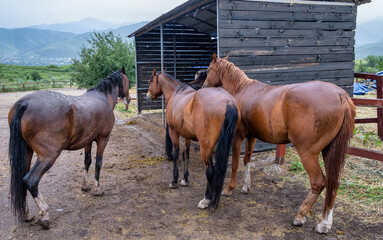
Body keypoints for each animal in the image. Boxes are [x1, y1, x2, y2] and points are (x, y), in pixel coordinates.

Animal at [8, 67, 131, 229]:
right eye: (128, 81)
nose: (128, 99)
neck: (103, 98)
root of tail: (24, 104)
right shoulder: (103, 139)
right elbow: (98, 163)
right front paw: (97, 189)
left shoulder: (87, 141)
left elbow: (87, 162)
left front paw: (85, 186)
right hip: (48, 156)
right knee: (30, 180)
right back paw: (44, 214)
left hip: (27, 153)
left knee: (21, 181)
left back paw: (27, 214)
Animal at [147, 68, 240, 209]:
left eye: (150, 81)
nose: (147, 96)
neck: (175, 93)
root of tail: (228, 102)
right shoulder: (187, 136)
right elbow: (186, 155)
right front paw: (185, 180)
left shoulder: (174, 132)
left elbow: (176, 154)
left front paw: (174, 181)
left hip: (205, 147)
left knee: (210, 171)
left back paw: (206, 199)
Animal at [204, 54, 356, 232]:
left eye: (209, 69)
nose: (205, 86)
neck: (242, 89)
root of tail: (340, 95)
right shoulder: (251, 137)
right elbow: (247, 160)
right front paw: (246, 187)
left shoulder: (237, 137)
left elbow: (235, 163)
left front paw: (229, 188)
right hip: (329, 150)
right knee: (334, 182)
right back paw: (324, 224)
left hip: (307, 153)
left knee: (318, 182)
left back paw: (300, 216)